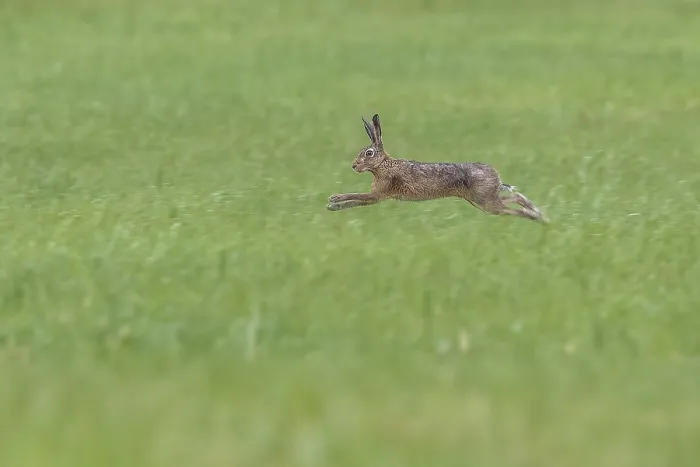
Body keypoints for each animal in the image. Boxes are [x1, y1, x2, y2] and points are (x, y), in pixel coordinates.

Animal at [326, 113, 548, 223]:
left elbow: (356, 197)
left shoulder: (379, 193)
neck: (383, 165)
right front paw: (332, 205)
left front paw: (333, 201)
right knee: (515, 198)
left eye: (369, 153)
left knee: (510, 206)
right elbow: (357, 201)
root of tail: (496, 176)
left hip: (485, 201)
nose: (354, 166)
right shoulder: (378, 195)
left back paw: (535, 216)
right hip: (481, 200)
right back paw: (538, 215)